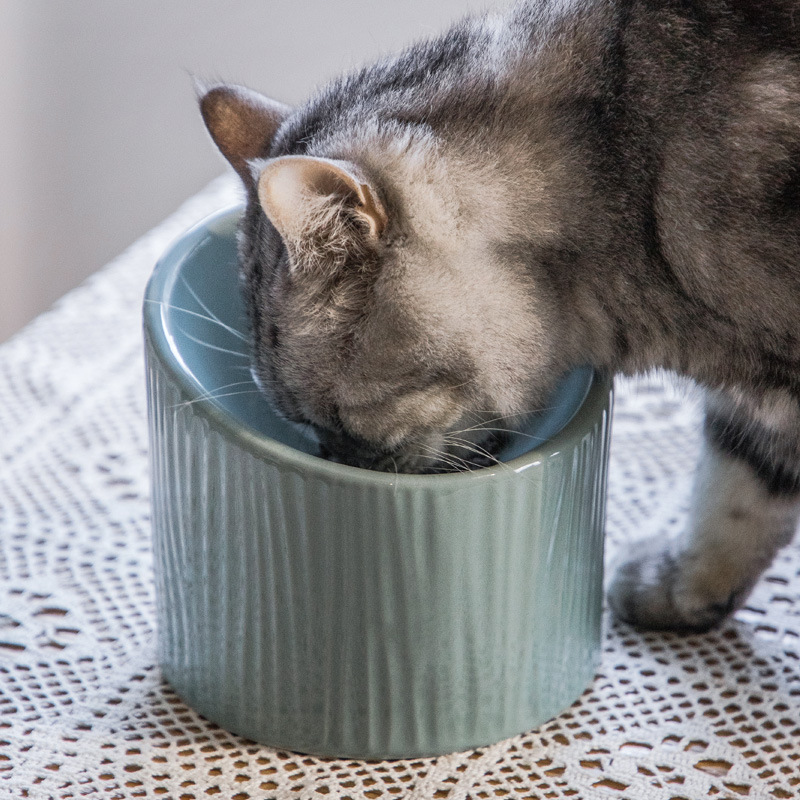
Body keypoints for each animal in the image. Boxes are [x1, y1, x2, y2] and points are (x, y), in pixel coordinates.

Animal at [200, 0, 800, 636]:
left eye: (339, 417)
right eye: (302, 424)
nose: (333, 460)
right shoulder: (758, 413)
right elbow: (737, 493)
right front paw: (680, 588)